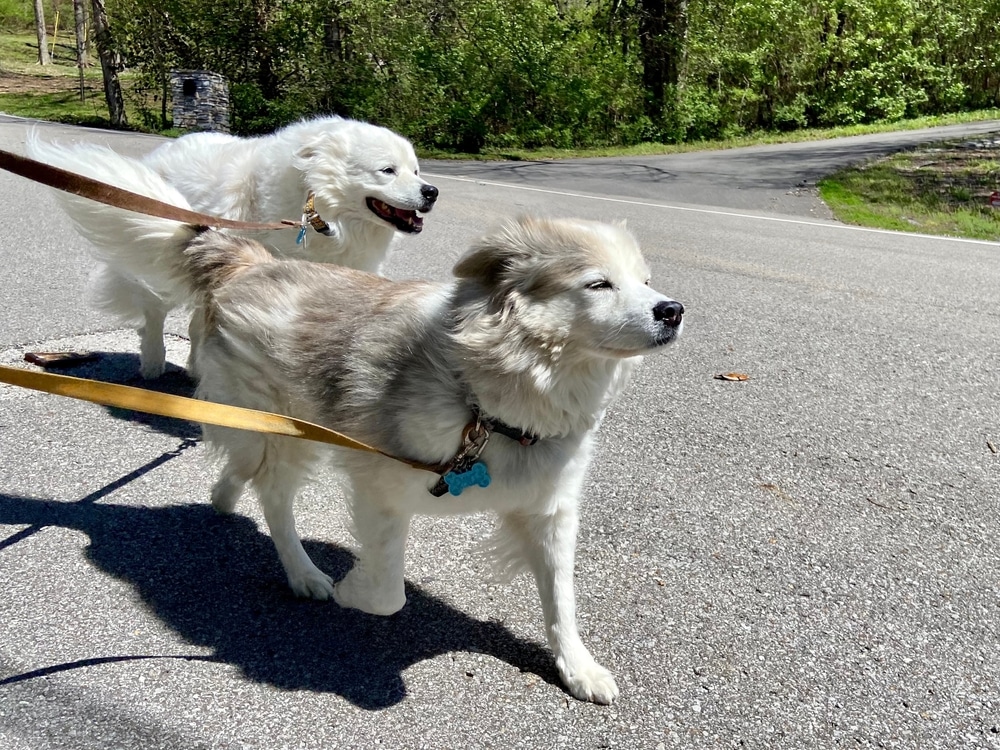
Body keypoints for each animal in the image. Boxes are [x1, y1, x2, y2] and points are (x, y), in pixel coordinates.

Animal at [29, 117, 436, 378]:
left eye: (416, 170)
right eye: (387, 170)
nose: (431, 191)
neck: (321, 215)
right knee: (154, 315)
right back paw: (154, 363)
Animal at [50, 176, 684, 704]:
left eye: (646, 281)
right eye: (598, 284)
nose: (673, 310)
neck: (490, 403)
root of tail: (250, 260)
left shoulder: (551, 509)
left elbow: (561, 598)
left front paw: (577, 668)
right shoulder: (381, 485)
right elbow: (388, 594)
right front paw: (352, 591)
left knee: (242, 466)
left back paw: (224, 497)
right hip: (289, 432)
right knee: (272, 496)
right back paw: (304, 572)